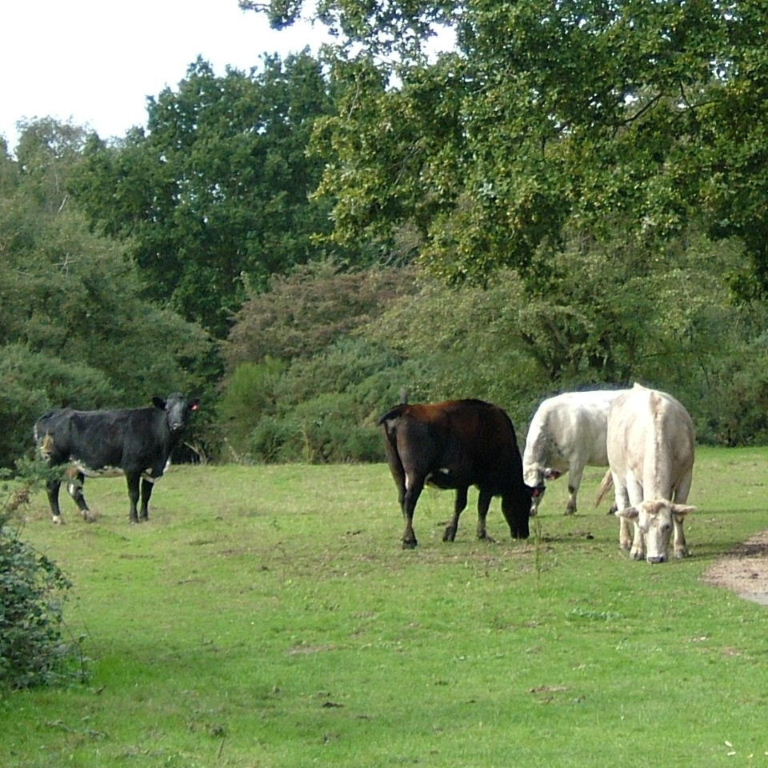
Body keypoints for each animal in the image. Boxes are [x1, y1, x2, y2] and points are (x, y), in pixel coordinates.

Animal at [34, 393, 201, 524]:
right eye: (167, 409)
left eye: (186, 409)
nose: (177, 425)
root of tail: (54, 413)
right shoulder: (132, 467)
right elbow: (134, 494)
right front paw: (133, 519)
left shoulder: (152, 470)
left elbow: (146, 495)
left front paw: (145, 517)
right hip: (53, 461)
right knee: (52, 487)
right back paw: (58, 518)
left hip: (75, 464)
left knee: (75, 489)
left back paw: (88, 515)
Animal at [379, 399, 532, 549]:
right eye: (525, 502)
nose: (524, 534)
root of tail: (405, 408)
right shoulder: (488, 481)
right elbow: (482, 507)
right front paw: (482, 535)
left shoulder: (463, 480)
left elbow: (460, 504)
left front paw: (450, 533)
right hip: (416, 473)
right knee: (409, 501)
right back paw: (409, 540)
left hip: (397, 470)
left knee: (402, 498)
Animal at [606, 383, 696, 563]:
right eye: (643, 526)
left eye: (666, 526)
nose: (655, 558)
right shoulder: (632, 478)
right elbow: (634, 512)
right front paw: (637, 549)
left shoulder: (686, 475)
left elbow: (679, 515)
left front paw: (680, 548)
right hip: (616, 472)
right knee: (623, 503)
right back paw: (625, 540)